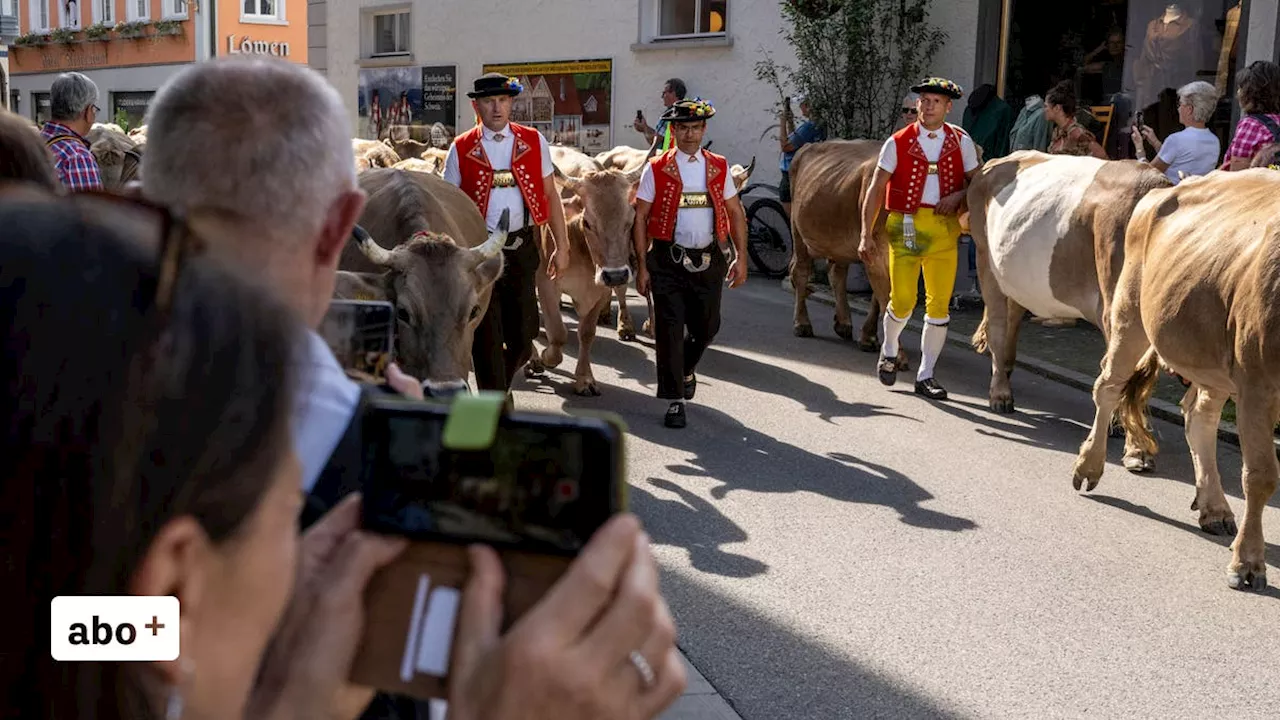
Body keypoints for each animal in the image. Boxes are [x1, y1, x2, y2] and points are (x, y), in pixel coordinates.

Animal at [1075, 167, 1280, 589]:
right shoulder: (1258, 385)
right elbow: (1260, 475)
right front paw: (1248, 562)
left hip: (1210, 361)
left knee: (1199, 416)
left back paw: (1214, 507)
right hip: (1129, 314)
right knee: (1108, 388)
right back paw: (1089, 466)